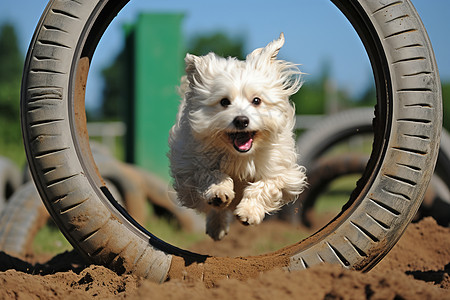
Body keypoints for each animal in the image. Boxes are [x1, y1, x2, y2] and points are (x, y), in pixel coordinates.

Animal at [168, 32, 306, 240]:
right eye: (224, 102)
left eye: (256, 100)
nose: (241, 120)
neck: (240, 156)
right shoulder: (190, 167)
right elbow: (210, 173)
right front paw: (219, 191)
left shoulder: (283, 172)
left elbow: (265, 185)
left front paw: (248, 212)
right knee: (216, 210)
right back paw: (217, 225)